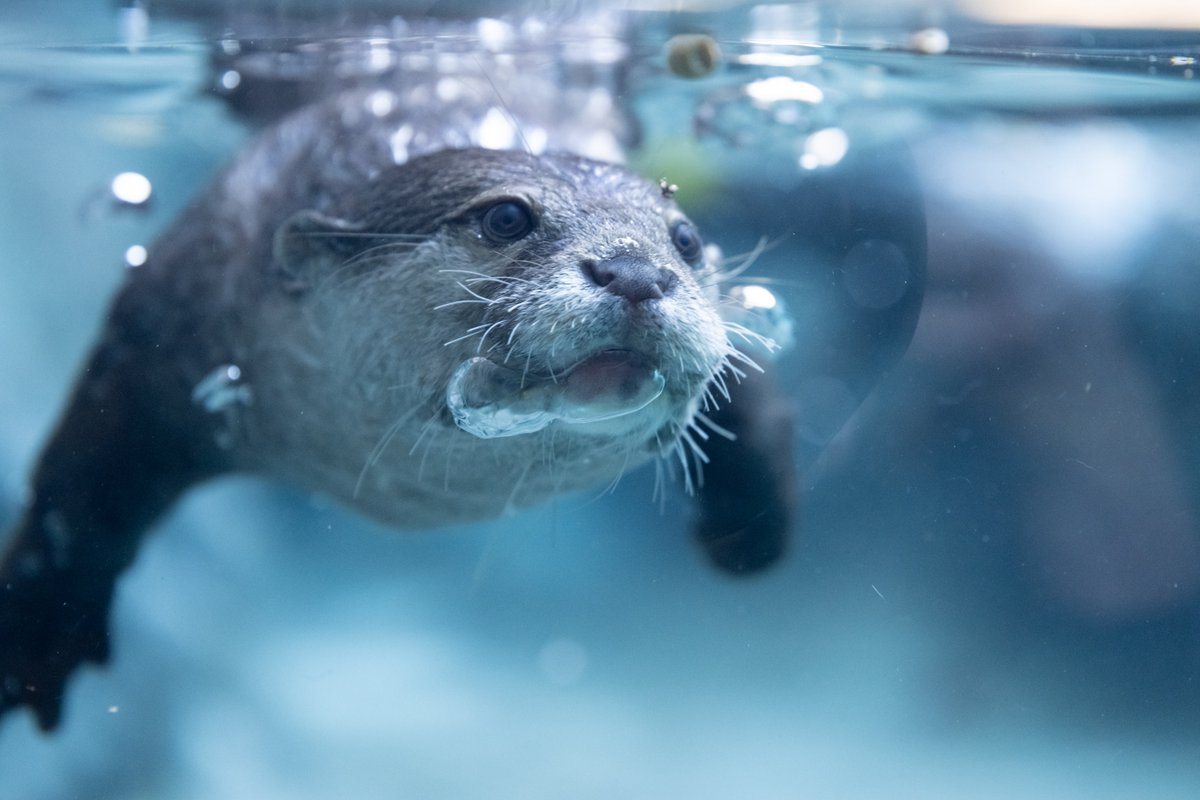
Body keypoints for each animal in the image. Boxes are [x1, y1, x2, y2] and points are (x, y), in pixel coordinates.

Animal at [0, 89, 796, 731]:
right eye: (506, 216)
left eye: (685, 239)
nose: (635, 271)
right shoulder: (167, 327)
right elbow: (81, 493)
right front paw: (40, 633)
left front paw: (749, 529)